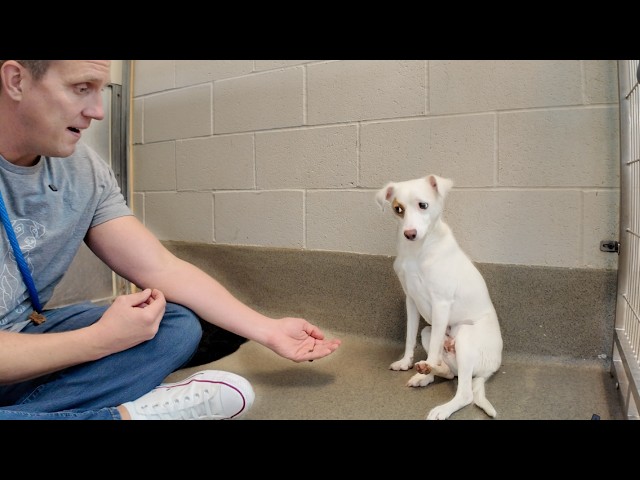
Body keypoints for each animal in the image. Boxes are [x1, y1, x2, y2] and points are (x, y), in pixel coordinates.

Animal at [376, 174, 504, 418]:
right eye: (398, 209)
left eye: (423, 205)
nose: (410, 234)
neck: (417, 252)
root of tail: (492, 368)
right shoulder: (411, 301)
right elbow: (409, 337)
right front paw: (406, 362)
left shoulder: (441, 304)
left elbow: (435, 347)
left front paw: (423, 369)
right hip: (427, 332)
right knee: (448, 371)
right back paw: (426, 373)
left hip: (465, 336)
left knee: (465, 393)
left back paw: (438, 399)